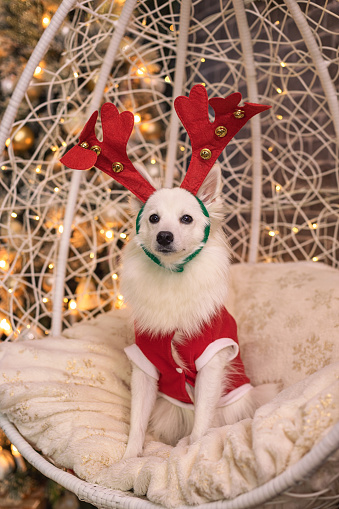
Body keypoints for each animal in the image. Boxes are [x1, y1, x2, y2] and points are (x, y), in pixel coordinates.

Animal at [122, 165, 278, 458]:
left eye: (186, 219)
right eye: (153, 218)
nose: (164, 236)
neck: (172, 276)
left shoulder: (211, 362)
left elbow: (202, 419)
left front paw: (192, 452)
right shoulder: (145, 367)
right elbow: (137, 420)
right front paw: (128, 457)